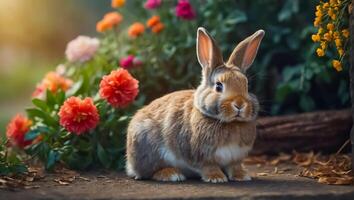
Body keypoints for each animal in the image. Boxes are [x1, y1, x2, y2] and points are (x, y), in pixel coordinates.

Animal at [126, 27, 264, 183]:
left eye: (247, 86)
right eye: (218, 86)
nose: (239, 104)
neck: (230, 123)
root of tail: (130, 164)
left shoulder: (235, 158)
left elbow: (235, 166)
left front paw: (241, 176)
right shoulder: (200, 156)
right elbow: (208, 166)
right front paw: (216, 178)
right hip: (148, 148)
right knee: (149, 172)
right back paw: (172, 174)